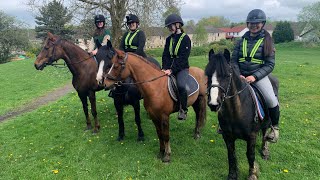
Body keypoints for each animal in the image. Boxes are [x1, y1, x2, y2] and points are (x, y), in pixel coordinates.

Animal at [205, 48, 278, 179]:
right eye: (207, 75)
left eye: (226, 75)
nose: (213, 104)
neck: (236, 112)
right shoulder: (227, 136)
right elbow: (231, 155)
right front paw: (232, 175)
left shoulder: (252, 136)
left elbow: (250, 155)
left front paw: (252, 174)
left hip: (267, 120)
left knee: (265, 134)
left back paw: (265, 151)